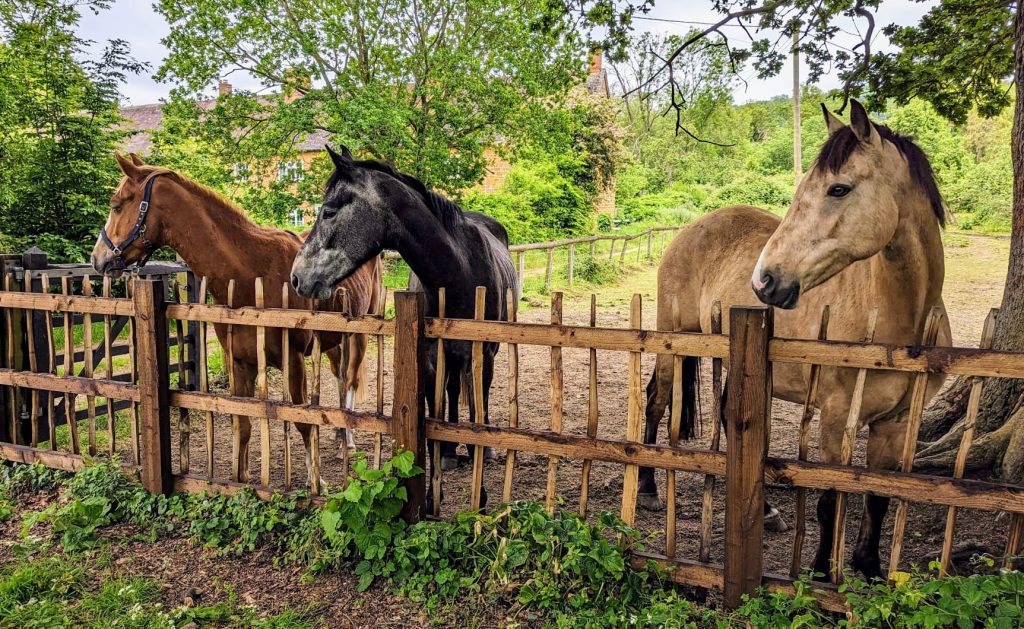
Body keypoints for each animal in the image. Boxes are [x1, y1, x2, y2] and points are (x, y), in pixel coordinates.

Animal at [91, 152, 382, 486]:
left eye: (116, 205)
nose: (97, 258)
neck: (250, 272)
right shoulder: (240, 363)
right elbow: (242, 422)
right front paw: (240, 478)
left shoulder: (293, 361)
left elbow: (303, 421)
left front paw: (316, 481)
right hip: (332, 342)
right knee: (340, 376)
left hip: (358, 334)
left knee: (350, 378)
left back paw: (347, 438)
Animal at [289, 145, 519, 494]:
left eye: (328, 212)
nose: (296, 277)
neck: (458, 272)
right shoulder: (430, 360)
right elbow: (433, 422)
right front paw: (433, 490)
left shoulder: (482, 355)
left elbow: (477, 419)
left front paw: (479, 493)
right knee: (453, 392)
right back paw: (450, 454)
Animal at [641, 100, 951, 580]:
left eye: (838, 189)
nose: (765, 281)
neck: (898, 329)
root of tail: (689, 230)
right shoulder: (836, 420)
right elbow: (829, 501)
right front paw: (823, 573)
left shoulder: (896, 425)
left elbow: (879, 496)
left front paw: (868, 566)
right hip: (673, 344)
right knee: (657, 400)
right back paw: (649, 490)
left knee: (728, 415)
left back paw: (767, 511)